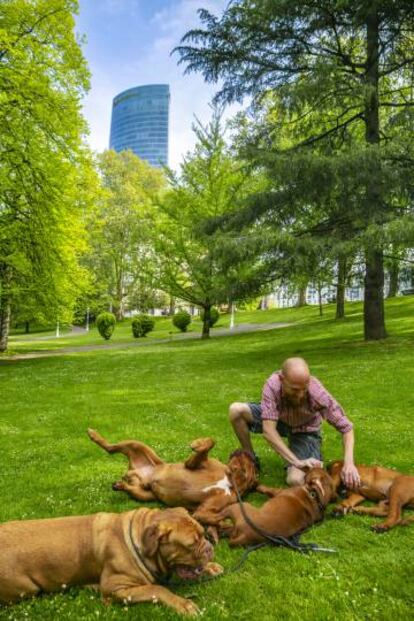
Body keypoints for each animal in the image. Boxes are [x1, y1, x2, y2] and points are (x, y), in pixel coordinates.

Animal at [0, 506, 223, 612]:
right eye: (191, 545)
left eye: (203, 534)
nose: (209, 548)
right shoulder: (116, 588)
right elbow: (157, 588)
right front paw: (183, 603)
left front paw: (211, 567)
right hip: (27, 588)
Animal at [87, 428, 258, 524]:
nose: (246, 451)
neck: (230, 481)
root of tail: (135, 472)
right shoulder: (193, 463)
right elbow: (210, 442)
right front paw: (197, 443)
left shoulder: (205, 510)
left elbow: (211, 515)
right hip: (136, 444)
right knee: (110, 448)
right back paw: (93, 434)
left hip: (144, 494)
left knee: (130, 487)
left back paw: (121, 485)